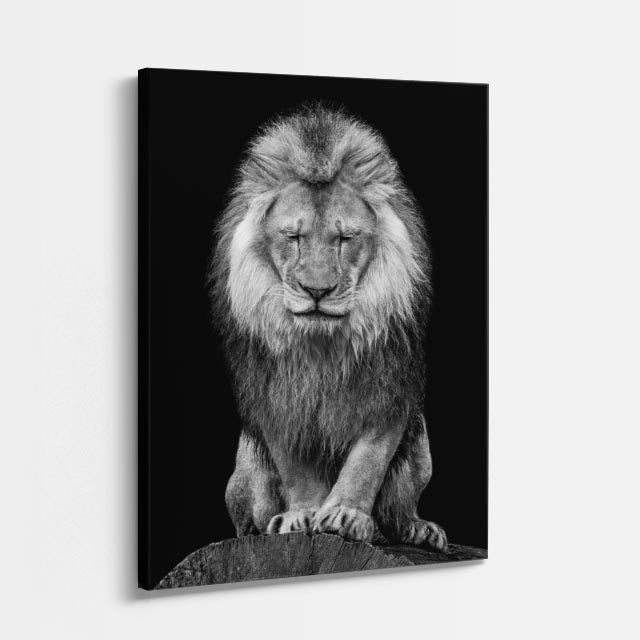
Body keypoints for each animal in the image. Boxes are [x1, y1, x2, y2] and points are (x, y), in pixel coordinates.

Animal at [209, 105, 447, 551]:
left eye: (345, 238)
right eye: (293, 236)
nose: (317, 291)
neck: (322, 342)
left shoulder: (390, 388)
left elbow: (367, 461)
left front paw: (344, 515)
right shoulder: (276, 396)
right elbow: (296, 467)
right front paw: (302, 515)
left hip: (423, 447)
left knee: (398, 509)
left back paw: (416, 528)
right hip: (244, 471)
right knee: (247, 519)